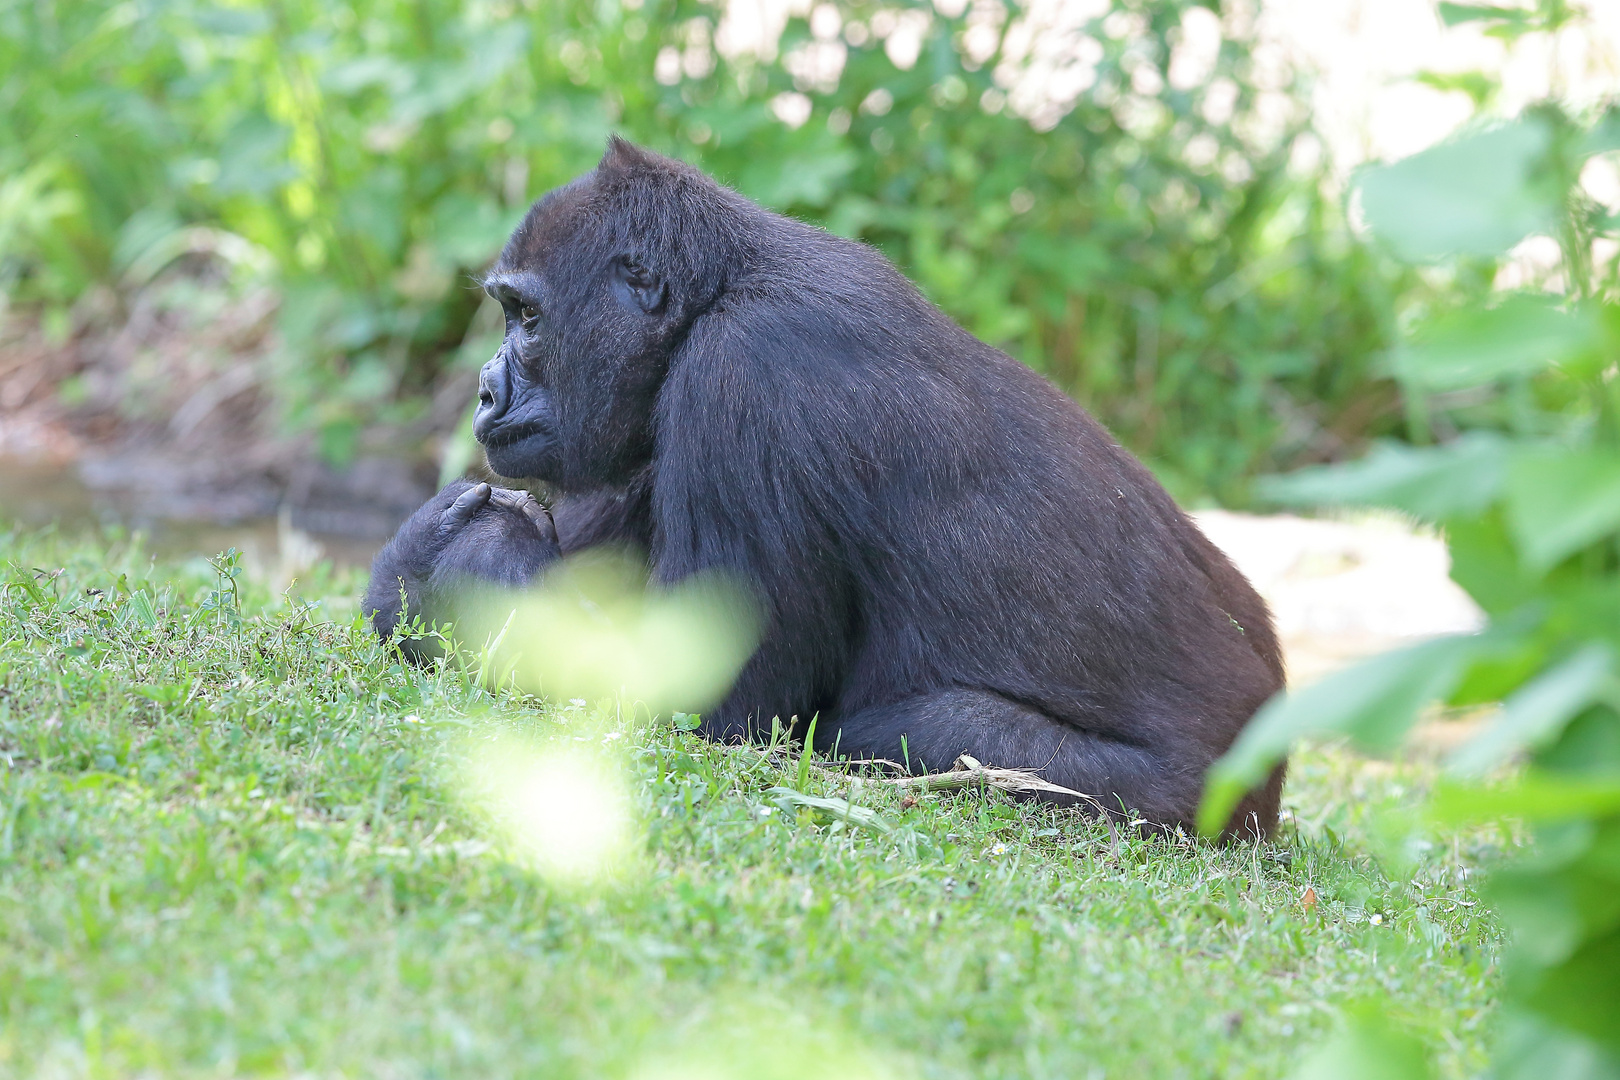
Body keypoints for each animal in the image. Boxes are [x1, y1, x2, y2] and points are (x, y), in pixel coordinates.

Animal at [370, 139, 1289, 841]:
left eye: (527, 317)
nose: (484, 392)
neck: (718, 289)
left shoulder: (742, 375)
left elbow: (703, 705)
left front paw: (457, 560)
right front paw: (411, 569)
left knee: (917, 739)